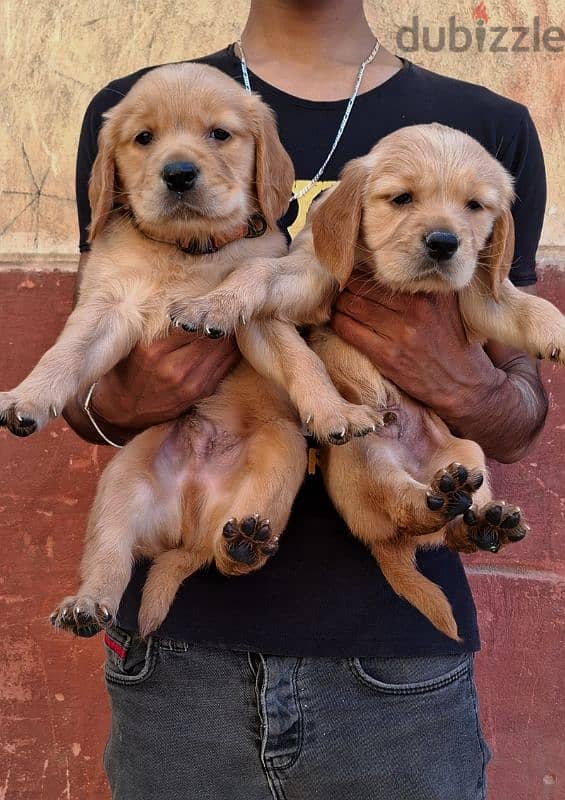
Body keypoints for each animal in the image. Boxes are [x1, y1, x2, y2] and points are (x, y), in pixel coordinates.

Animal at [0, 62, 382, 636]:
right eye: (143, 138)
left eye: (219, 135)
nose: (178, 173)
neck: (187, 251)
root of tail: (190, 521)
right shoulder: (105, 307)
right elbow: (63, 355)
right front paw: (27, 397)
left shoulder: (255, 317)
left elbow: (303, 360)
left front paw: (336, 411)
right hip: (122, 484)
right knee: (111, 558)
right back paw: (85, 605)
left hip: (282, 452)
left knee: (223, 558)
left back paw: (245, 543)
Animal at [173, 125, 564, 640]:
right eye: (401, 198)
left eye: (475, 206)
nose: (444, 242)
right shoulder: (310, 272)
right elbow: (258, 276)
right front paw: (213, 304)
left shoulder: (477, 292)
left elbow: (518, 300)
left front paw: (556, 328)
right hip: (365, 456)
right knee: (405, 506)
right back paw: (439, 504)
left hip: (469, 455)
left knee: (450, 525)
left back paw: (483, 522)